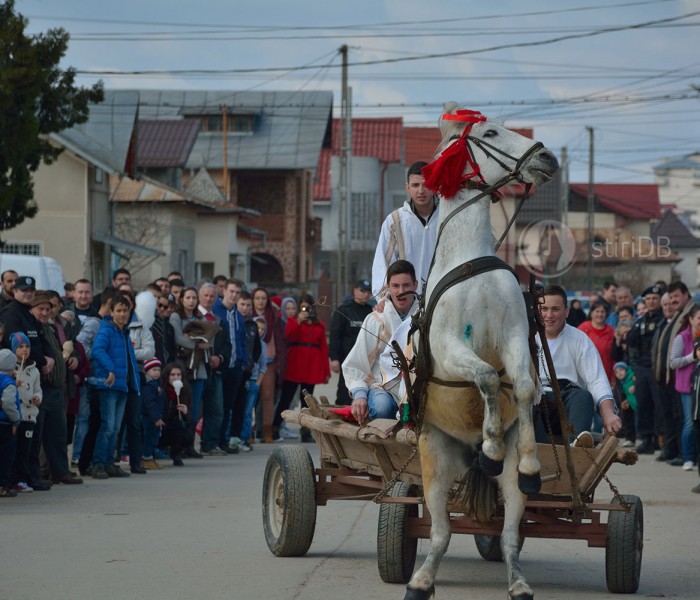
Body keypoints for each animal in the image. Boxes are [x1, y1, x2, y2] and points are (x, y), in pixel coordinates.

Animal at [404, 104, 556, 600]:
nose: (547, 157)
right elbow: (487, 377)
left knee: (509, 534)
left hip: (506, 492)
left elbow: (522, 386)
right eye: (489, 133)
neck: (470, 263)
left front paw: (526, 460)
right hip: (434, 461)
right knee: (440, 532)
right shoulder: (451, 347)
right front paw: (489, 443)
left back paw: (518, 581)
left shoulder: (514, 337)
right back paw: (420, 580)